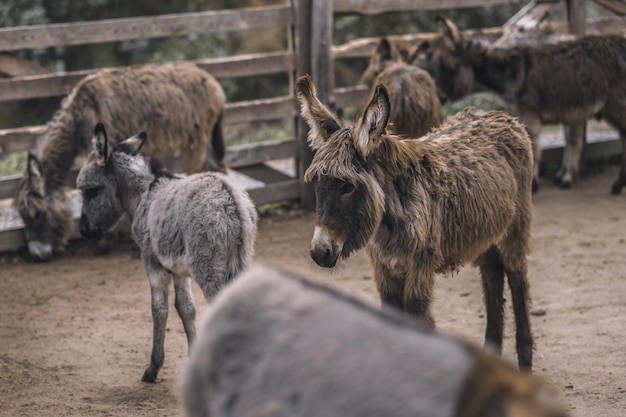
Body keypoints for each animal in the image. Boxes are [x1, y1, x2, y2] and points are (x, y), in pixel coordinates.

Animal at [77, 122, 258, 380]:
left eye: (91, 191)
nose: (83, 230)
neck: (145, 193)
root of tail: (230, 199)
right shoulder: (179, 270)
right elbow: (186, 308)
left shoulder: (153, 263)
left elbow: (159, 309)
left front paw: (153, 368)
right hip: (240, 262)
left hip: (209, 269)